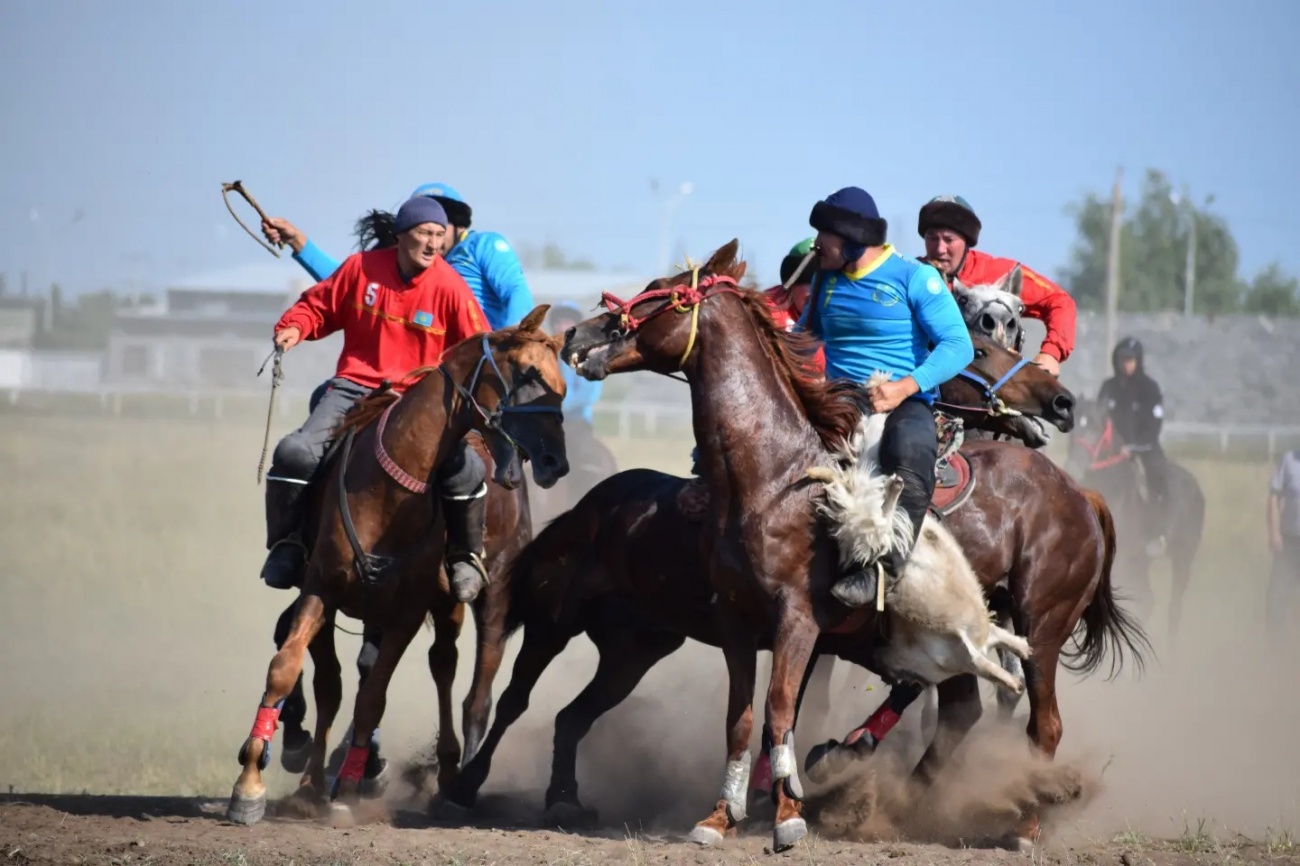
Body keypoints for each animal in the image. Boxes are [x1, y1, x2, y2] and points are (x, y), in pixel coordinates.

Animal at [227, 305, 569, 821]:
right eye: (529, 374)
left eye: (562, 384)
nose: (555, 462)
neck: (392, 487)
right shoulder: (322, 590)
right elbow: (298, 671)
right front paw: (267, 782)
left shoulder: (406, 612)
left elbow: (372, 697)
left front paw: (345, 790)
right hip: (435, 607)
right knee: (441, 664)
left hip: (490, 602)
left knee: (475, 695)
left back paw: (456, 785)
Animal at [439, 328, 1076, 816]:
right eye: (982, 349)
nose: (1061, 401)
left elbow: (795, 709)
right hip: (555, 621)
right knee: (514, 699)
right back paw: (466, 786)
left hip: (635, 648)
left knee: (571, 717)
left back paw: (564, 797)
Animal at [559, 239, 1149, 847]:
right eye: (981, 344)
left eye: (664, 292)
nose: (578, 334)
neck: (775, 476)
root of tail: (1080, 495)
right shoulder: (738, 624)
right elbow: (741, 720)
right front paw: (721, 815)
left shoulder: (799, 622)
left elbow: (779, 711)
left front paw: (788, 813)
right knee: (963, 713)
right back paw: (900, 804)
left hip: (1041, 626)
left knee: (1043, 726)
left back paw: (1023, 821)